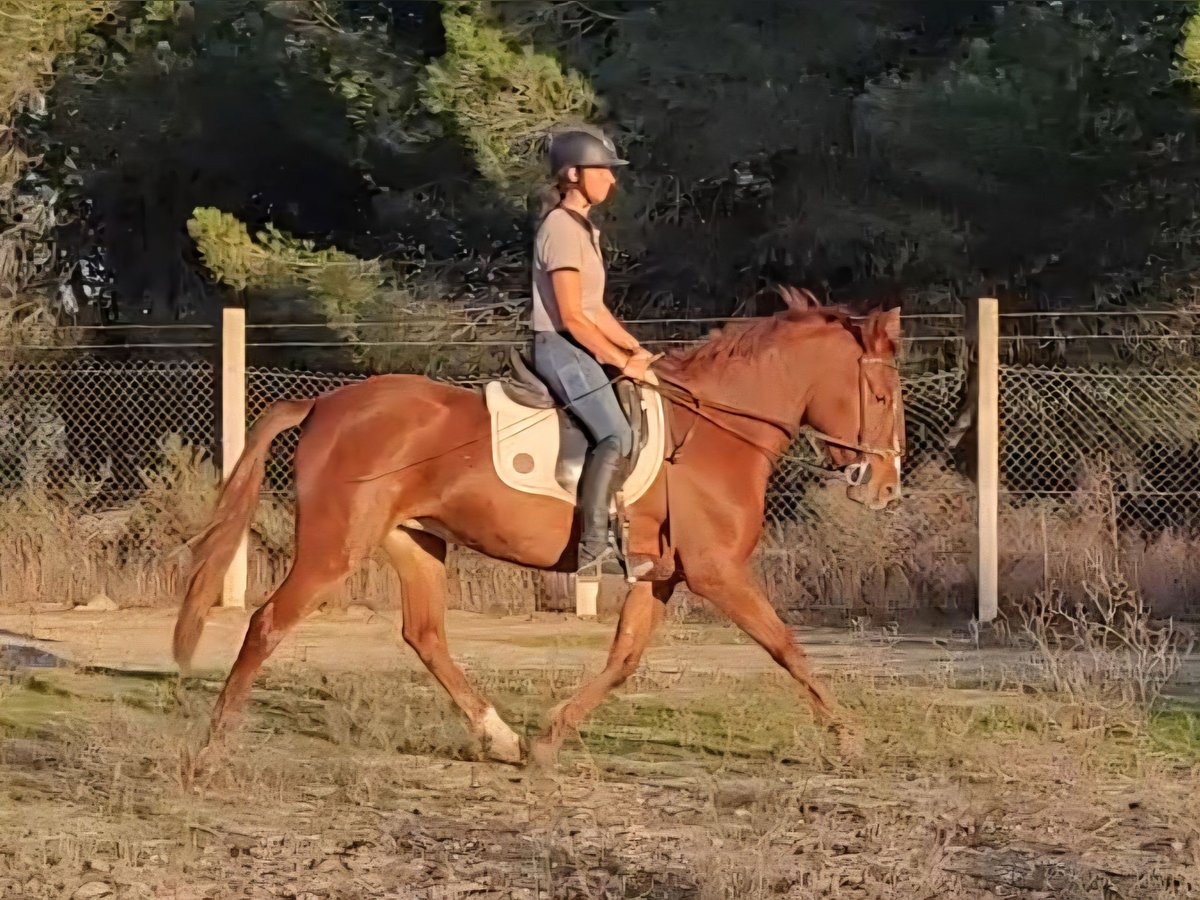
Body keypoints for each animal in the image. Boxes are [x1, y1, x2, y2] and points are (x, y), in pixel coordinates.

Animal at [173, 287, 904, 768]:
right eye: (880, 394)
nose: (885, 486)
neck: (713, 434)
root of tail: (325, 403)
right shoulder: (717, 572)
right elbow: (787, 646)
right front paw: (851, 739)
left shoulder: (661, 577)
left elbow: (623, 659)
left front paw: (550, 739)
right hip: (334, 547)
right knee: (269, 622)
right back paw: (212, 749)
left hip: (416, 541)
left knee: (425, 636)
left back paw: (501, 737)